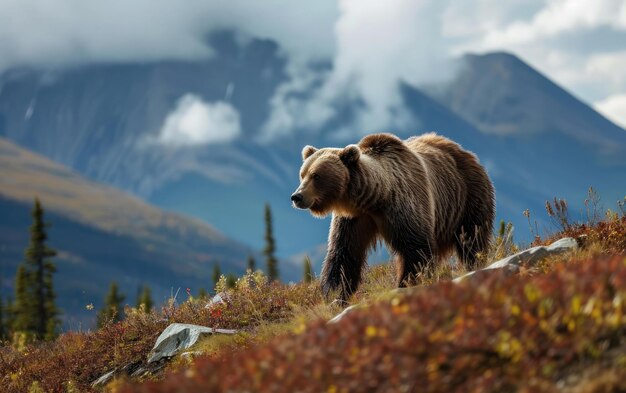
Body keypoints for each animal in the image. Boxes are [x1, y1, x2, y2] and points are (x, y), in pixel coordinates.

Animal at [292, 133, 492, 302]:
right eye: (302, 174)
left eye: (316, 176)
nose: (296, 196)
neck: (373, 199)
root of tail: (462, 150)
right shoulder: (354, 219)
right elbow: (344, 255)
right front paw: (334, 295)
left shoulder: (402, 207)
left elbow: (416, 249)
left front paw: (406, 283)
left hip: (467, 197)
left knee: (472, 239)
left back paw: (476, 262)